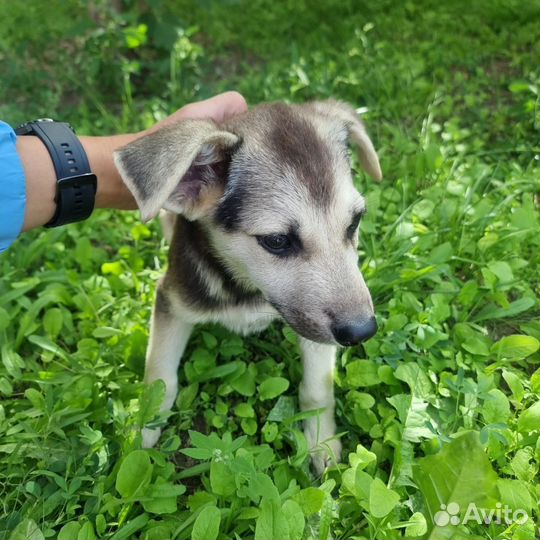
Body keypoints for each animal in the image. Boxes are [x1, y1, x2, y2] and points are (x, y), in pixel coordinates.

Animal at [115, 101, 382, 472]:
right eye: (277, 241)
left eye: (355, 222)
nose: (361, 331)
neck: (247, 288)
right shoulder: (172, 301)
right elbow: (160, 377)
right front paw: (143, 429)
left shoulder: (311, 327)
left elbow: (317, 388)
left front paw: (322, 442)